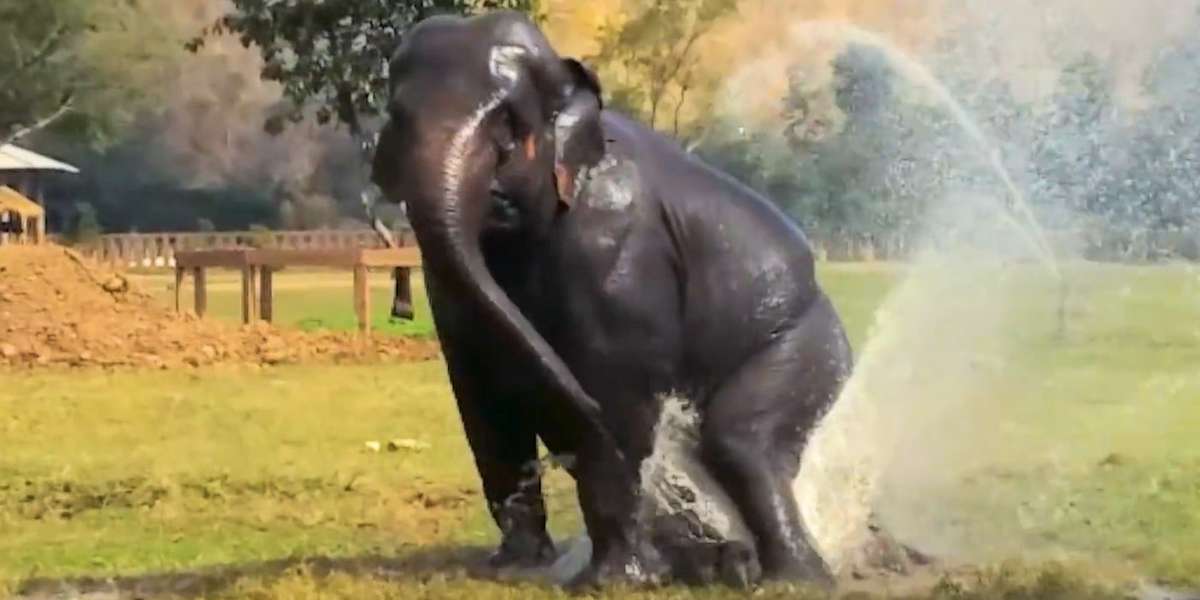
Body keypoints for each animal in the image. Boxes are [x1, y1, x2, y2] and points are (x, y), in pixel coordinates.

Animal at [371, 11, 853, 589]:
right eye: (397, 117)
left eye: (508, 127)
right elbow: (482, 397)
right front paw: (516, 568)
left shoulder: (616, 248)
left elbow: (618, 394)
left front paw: (614, 581)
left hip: (808, 343)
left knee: (743, 442)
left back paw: (788, 577)